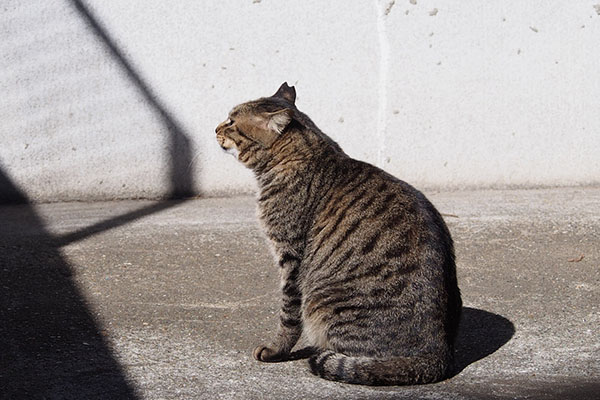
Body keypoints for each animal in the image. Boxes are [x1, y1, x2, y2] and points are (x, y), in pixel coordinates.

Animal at [216, 82, 464, 384]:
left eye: (231, 121)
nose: (215, 128)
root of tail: (439, 352)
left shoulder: (291, 258)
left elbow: (288, 315)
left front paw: (276, 350)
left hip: (321, 303)